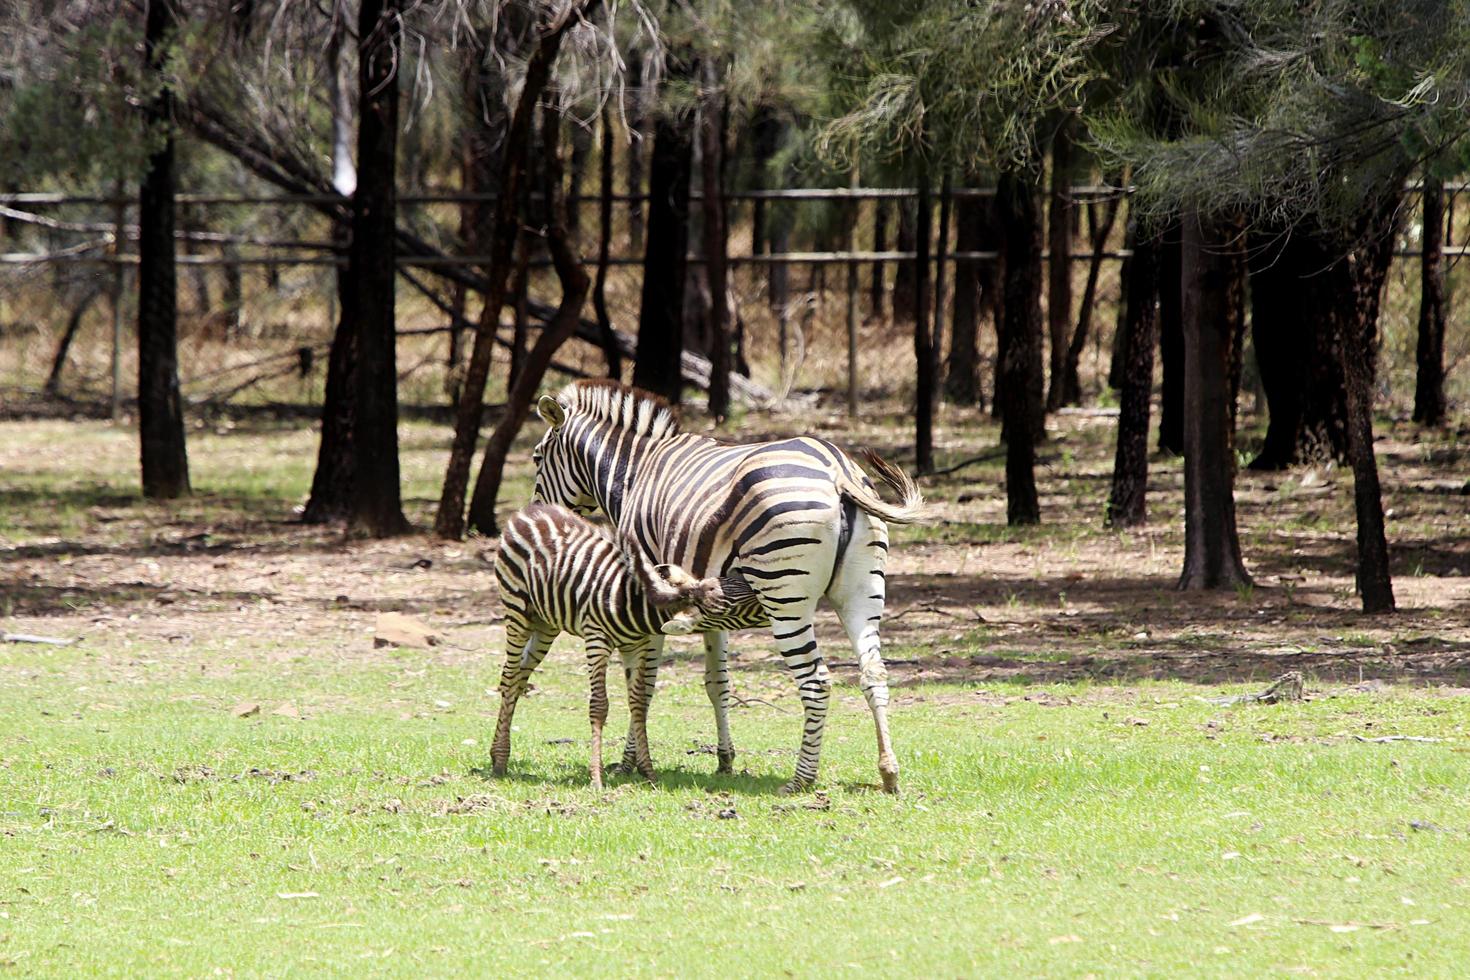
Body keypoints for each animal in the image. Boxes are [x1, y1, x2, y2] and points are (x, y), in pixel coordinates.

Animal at [493, 505, 764, 787]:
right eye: (735, 607)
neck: (634, 602)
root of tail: (530, 510)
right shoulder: (597, 639)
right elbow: (599, 705)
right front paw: (596, 777)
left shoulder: (636, 647)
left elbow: (638, 703)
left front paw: (648, 771)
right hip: (517, 610)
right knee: (510, 677)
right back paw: (500, 761)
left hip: (546, 622)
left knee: (519, 677)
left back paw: (496, 753)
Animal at [535, 379, 923, 793]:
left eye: (537, 458)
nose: (540, 514)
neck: (634, 475)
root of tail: (837, 468)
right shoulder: (711, 606)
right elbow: (716, 682)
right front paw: (724, 759)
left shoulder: (647, 595)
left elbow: (642, 683)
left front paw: (630, 762)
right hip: (862, 592)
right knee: (873, 673)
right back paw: (889, 772)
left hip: (785, 596)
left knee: (816, 681)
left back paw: (800, 780)